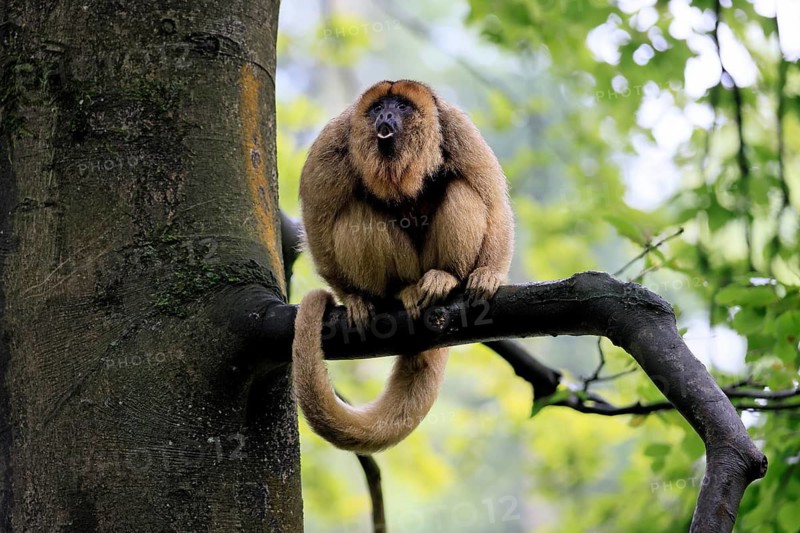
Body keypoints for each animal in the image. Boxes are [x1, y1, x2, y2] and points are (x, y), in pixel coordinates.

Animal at [292, 80, 514, 454]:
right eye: (378, 107)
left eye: (402, 106)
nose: (386, 115)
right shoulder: (332, 142)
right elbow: (318, 222)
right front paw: (352, 297)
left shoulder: (457, 128)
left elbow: (493, 200)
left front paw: (489, 274)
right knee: (356, 211)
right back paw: (398, 291)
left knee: (461, 188)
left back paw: (444, 278)